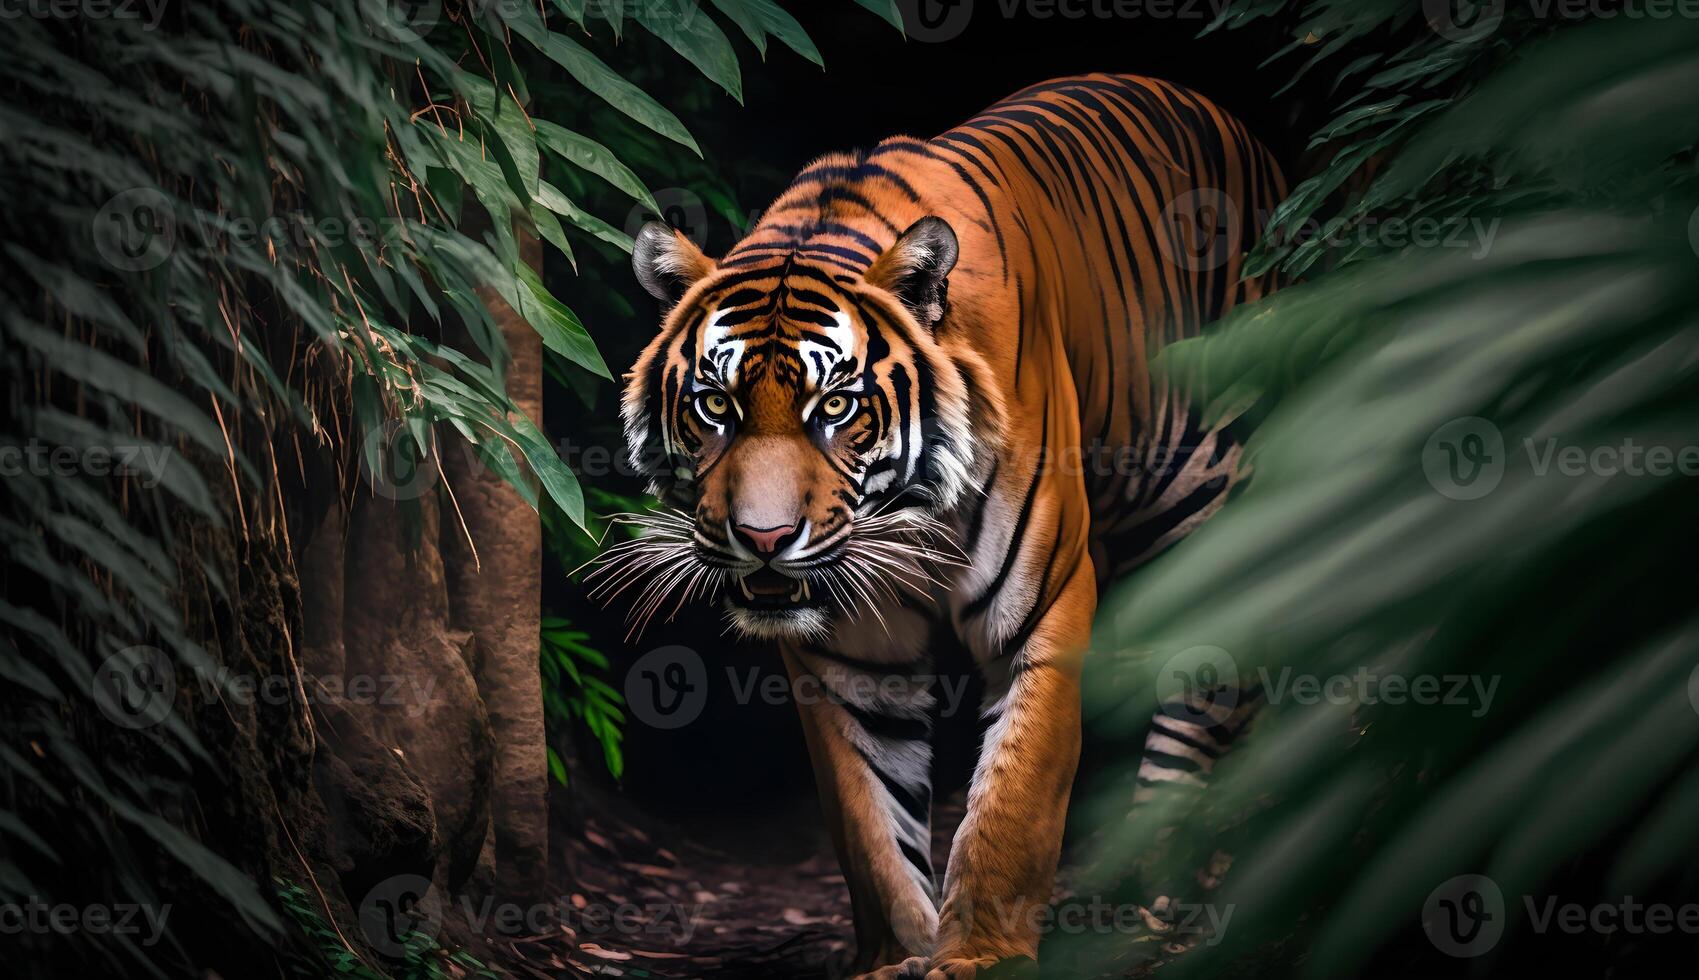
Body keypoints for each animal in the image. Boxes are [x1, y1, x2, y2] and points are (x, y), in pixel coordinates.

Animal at [604, 72, 1277, 971]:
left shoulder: (1042, 610)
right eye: (715, 405)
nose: (763, 541)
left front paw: (980, 958)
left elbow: (1013, 801)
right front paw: (895, 957)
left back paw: (1159, 897)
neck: (907, 516)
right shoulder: (845, 652)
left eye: (835, 408)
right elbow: (870, 824)